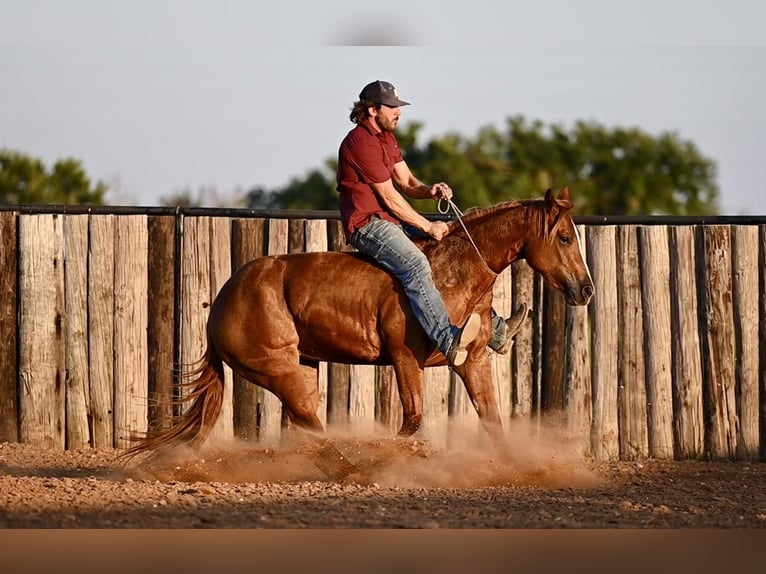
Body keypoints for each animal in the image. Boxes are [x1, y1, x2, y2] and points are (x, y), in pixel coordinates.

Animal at [124, 189, 592, 468]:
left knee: (301, 427)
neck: (451, 276)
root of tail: (219, 304)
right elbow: (413, 420)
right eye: (565, 238)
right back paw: (350, 465)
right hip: (281, 372)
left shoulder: (471, 362)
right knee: (311, 424)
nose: (585, 289)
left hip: (303, 368)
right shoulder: (405, 359)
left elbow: (492, 419)